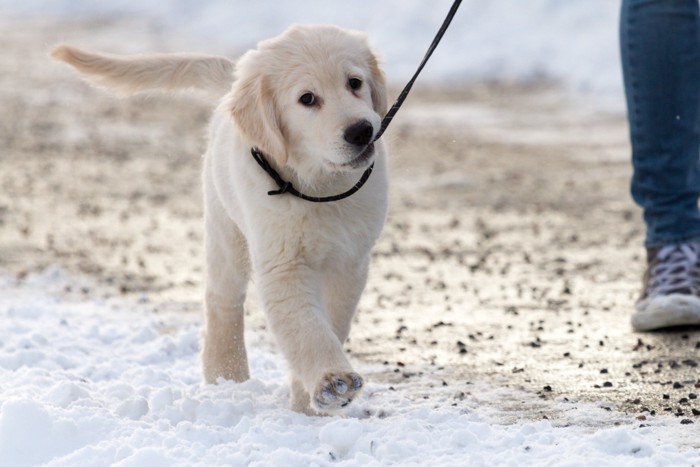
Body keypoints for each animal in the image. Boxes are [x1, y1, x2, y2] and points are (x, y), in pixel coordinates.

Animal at [52, 23, 392, 414]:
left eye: (355, 82)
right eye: (307, 99)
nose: (361, 131)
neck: (320, 186)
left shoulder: (349, 262)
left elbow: (330, 322)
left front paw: (309, 400)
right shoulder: (281, 264)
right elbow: (305, 327)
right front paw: (331, 382)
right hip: (226, 230)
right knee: (222, 301)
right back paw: (224, 374)